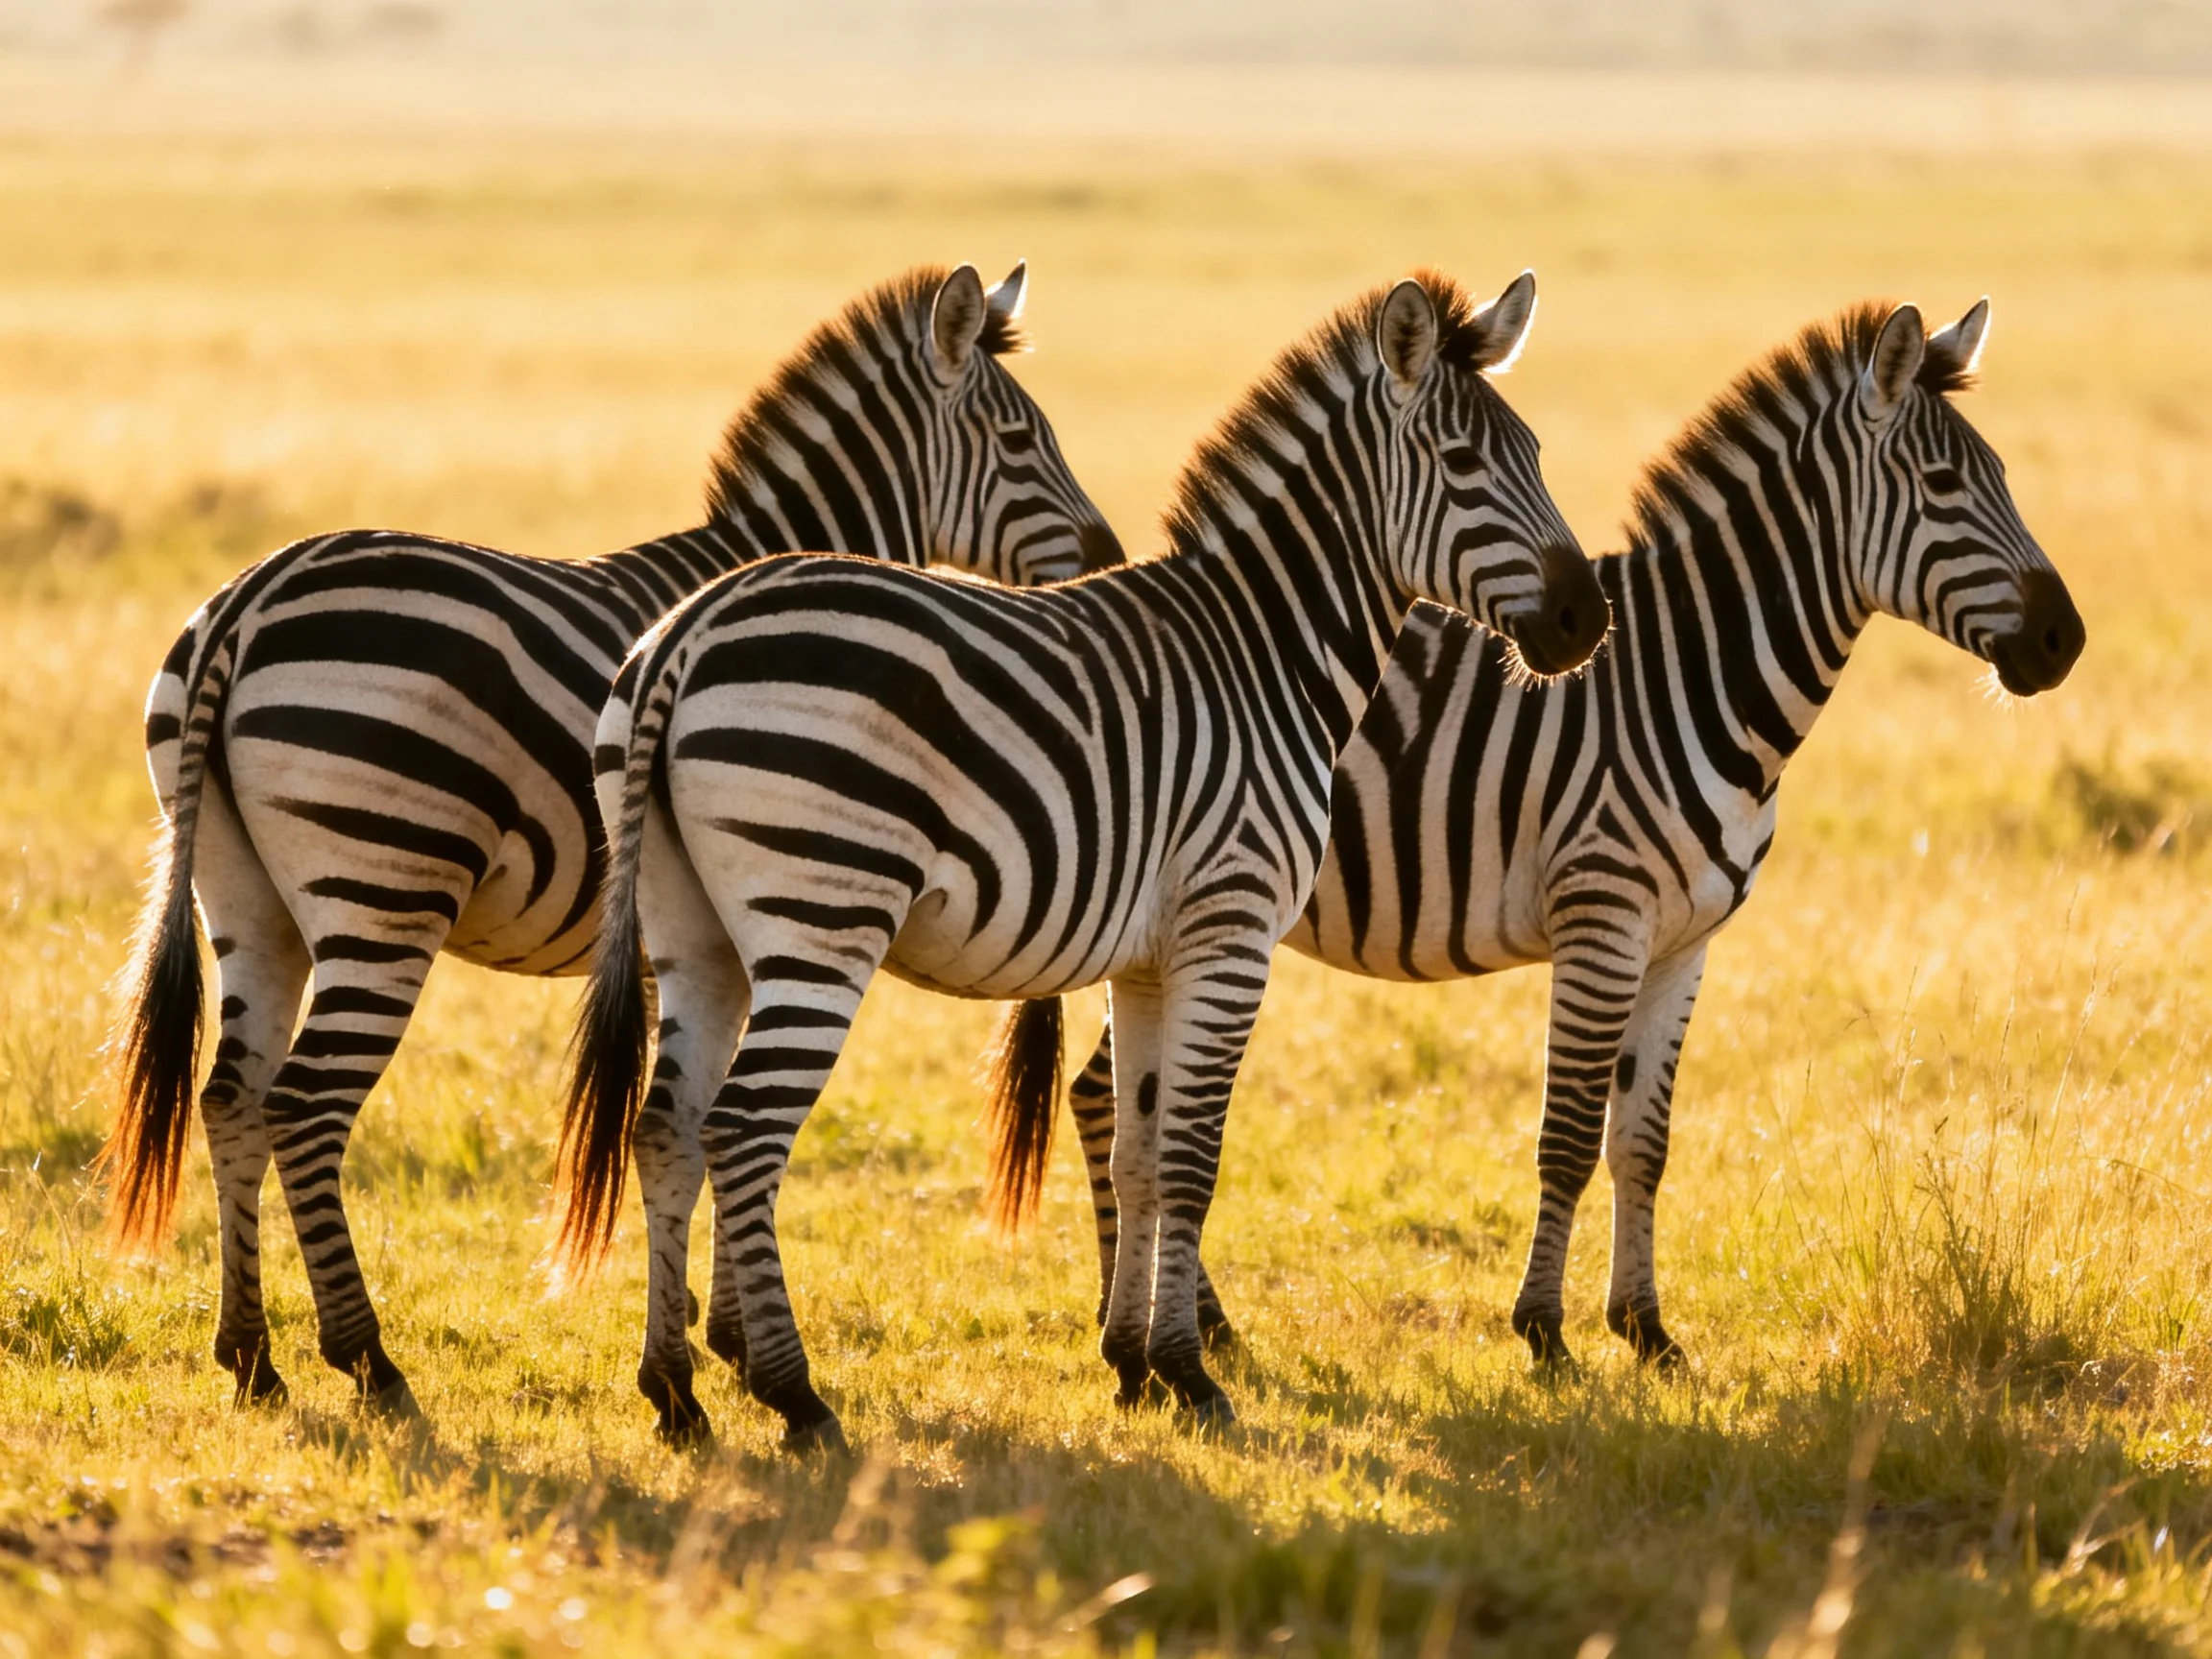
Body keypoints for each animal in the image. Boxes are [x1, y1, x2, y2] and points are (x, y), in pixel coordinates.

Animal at [103, 261, 1122, 1417]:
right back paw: (368, 1359)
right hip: (384, 885)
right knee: (306, 1107)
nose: (1113, 559)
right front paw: (734, 1344)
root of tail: (247, 602)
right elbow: (719, 1118)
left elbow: (700, 1112)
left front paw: (717, 1335)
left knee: (229, 1096)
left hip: (244, 897)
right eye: (1020, 442)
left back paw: (251, 1356)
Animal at [554, 269, 1611, 1449]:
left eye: (1536, 453)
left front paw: (1133, 1364)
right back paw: (795, 1396)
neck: (1267, 653)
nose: (1588, 619)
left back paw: (675, 1393)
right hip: (822, 915)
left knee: (665, 1128)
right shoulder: (1232, 930)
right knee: (741, 1132)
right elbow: (1192, 1158)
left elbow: (1140, 1153)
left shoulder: (1149, 957)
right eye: (1467, 465)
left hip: (695, 933)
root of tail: (689, 632)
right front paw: (1194, 1377)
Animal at [1042, 297, 2086, 1374]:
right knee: (1113, 1098)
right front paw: (1544, 1331)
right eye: (1945, 485)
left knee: (1101, 1094)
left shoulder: (1684, 943)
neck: (1698, 677)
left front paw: (1646, 1329)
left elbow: (1643, 1139)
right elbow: (1573, 1134)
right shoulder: (1603, 917)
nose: (2067, 641)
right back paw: (1182, 1326)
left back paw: (1174, 1321)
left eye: (2003, 473)